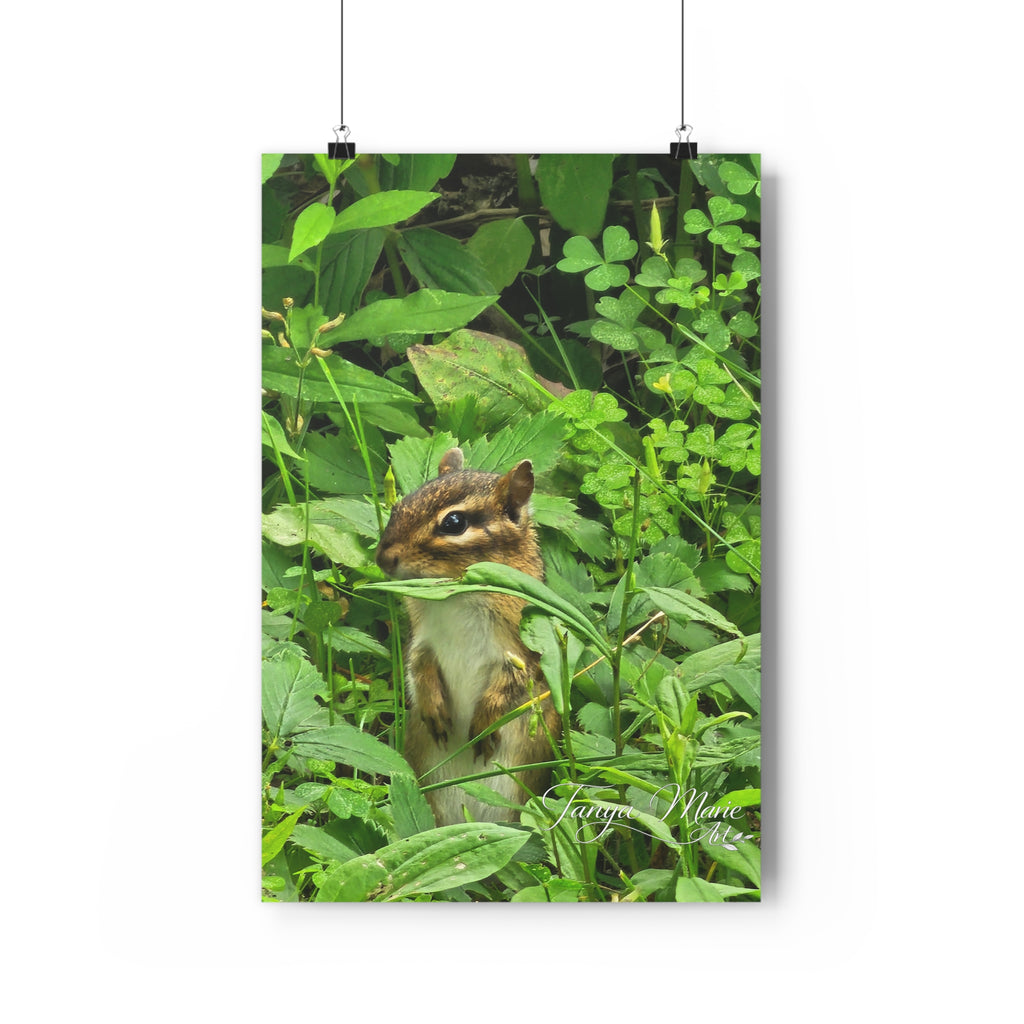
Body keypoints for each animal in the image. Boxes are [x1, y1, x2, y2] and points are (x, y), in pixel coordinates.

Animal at [375, 447, 560, 825]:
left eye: (454, 523)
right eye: (400, 505)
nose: (383, 558)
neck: (455, 596)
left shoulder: (520, 650)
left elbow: (510, 686)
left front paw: (485, 724)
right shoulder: (422, 639)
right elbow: (417, 667)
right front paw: (433, 708)